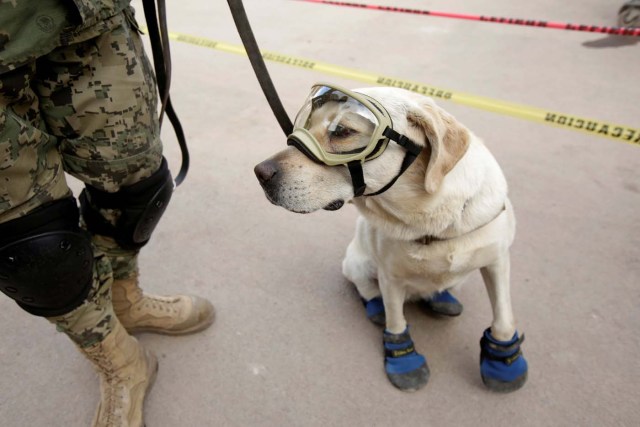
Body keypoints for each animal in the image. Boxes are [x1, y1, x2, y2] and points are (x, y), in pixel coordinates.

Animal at [252, 84, 528, 394]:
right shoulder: (391, 277)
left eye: (342, 131)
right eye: (306, 124)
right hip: (356, 263)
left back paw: (442, 299)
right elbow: (396, 321)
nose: (260, 173)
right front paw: (404, 360)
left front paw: (503, 361)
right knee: (365, 288)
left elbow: (504, 317)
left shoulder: (498, 261)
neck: (434, 223)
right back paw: (376, 307)